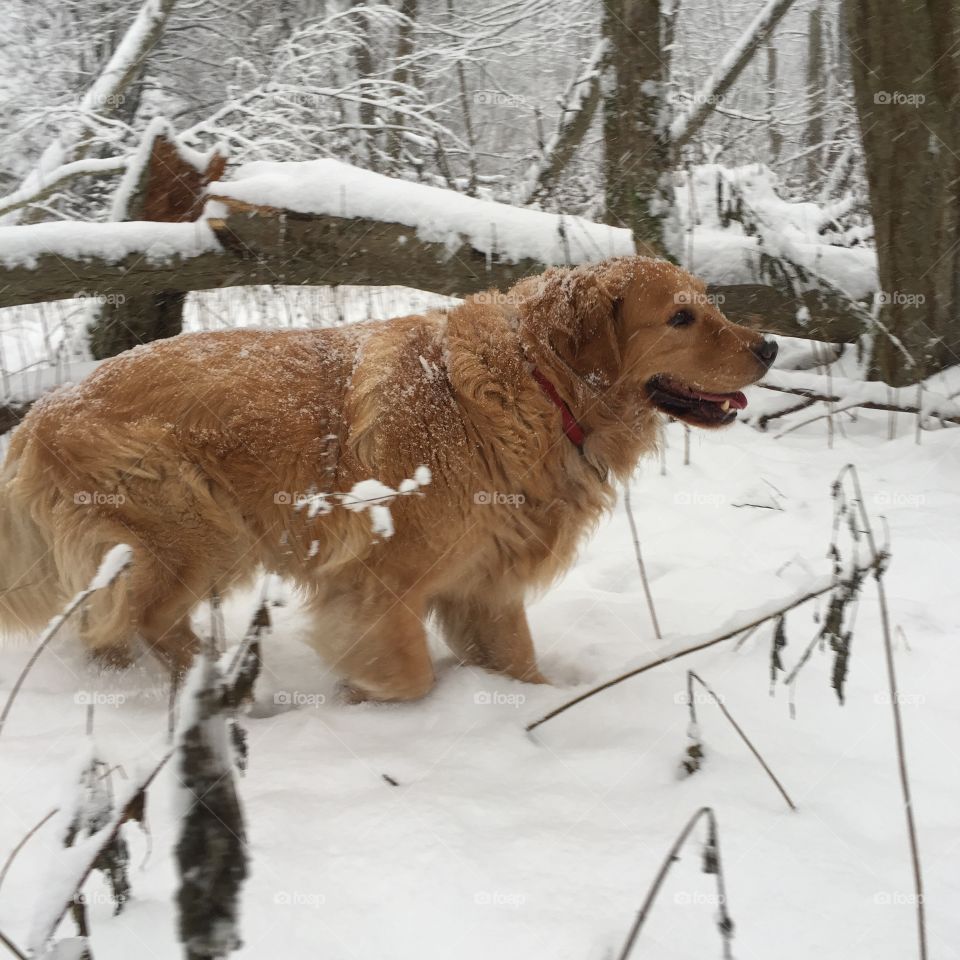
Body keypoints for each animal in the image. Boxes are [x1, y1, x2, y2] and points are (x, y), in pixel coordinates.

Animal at [0, 258, 772, 700]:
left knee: (107, 622)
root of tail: (38, 415)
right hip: (197, 528)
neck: (533, 385)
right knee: (147, 620)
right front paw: (367, 696)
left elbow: (521, 667)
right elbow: (408, 675)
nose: (769, 345)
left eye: (710, 303)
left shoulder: (487, 587)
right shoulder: (377, 585)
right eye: (680, 316)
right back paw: (228, 690)